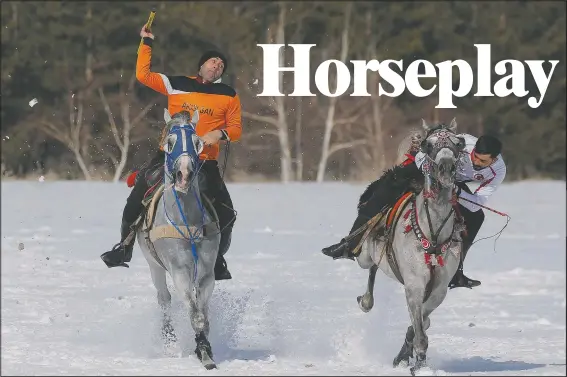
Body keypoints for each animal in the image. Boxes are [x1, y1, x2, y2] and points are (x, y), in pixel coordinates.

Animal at [137, 108, 222, 368]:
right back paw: (170, 343)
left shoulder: (206, 272)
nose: (184, 174)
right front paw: (202, 351)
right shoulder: (179, 271)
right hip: (154, 265)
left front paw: (206, 351)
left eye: (198, 142)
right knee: (163, 299)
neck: (187, 222)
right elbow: (194, 314)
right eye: (170, 142)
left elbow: (202, 314)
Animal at [358, 119, 468, 374]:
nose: (446, 169)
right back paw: (366, 300)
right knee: (370, 268)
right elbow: (419, 332)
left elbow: (421, 324)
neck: (433, 235)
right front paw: (417, 362)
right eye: (428, 145)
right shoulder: (415, 285)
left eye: (459, 143)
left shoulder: (439, 288)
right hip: (364, 257)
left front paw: (412, 357)